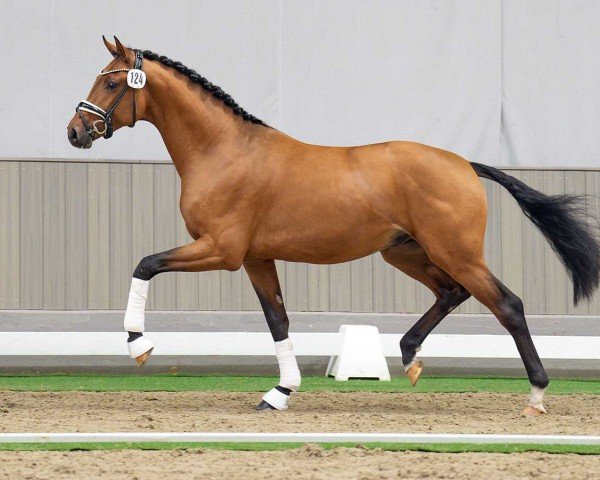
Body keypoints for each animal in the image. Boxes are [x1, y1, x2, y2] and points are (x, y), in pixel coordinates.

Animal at [67, 36, 600, 412]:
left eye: (111, 83)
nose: (75, 131)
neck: (223, 150)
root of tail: (464, 164)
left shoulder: (222, 249)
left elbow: (145, 263)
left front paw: (138, 344)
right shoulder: (256, 258)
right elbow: (278, 320)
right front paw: (280, 392)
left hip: (455, 252)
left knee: (507, 305)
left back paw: (536, 395)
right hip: (405, 251)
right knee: (452, 292)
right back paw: (410, 357)